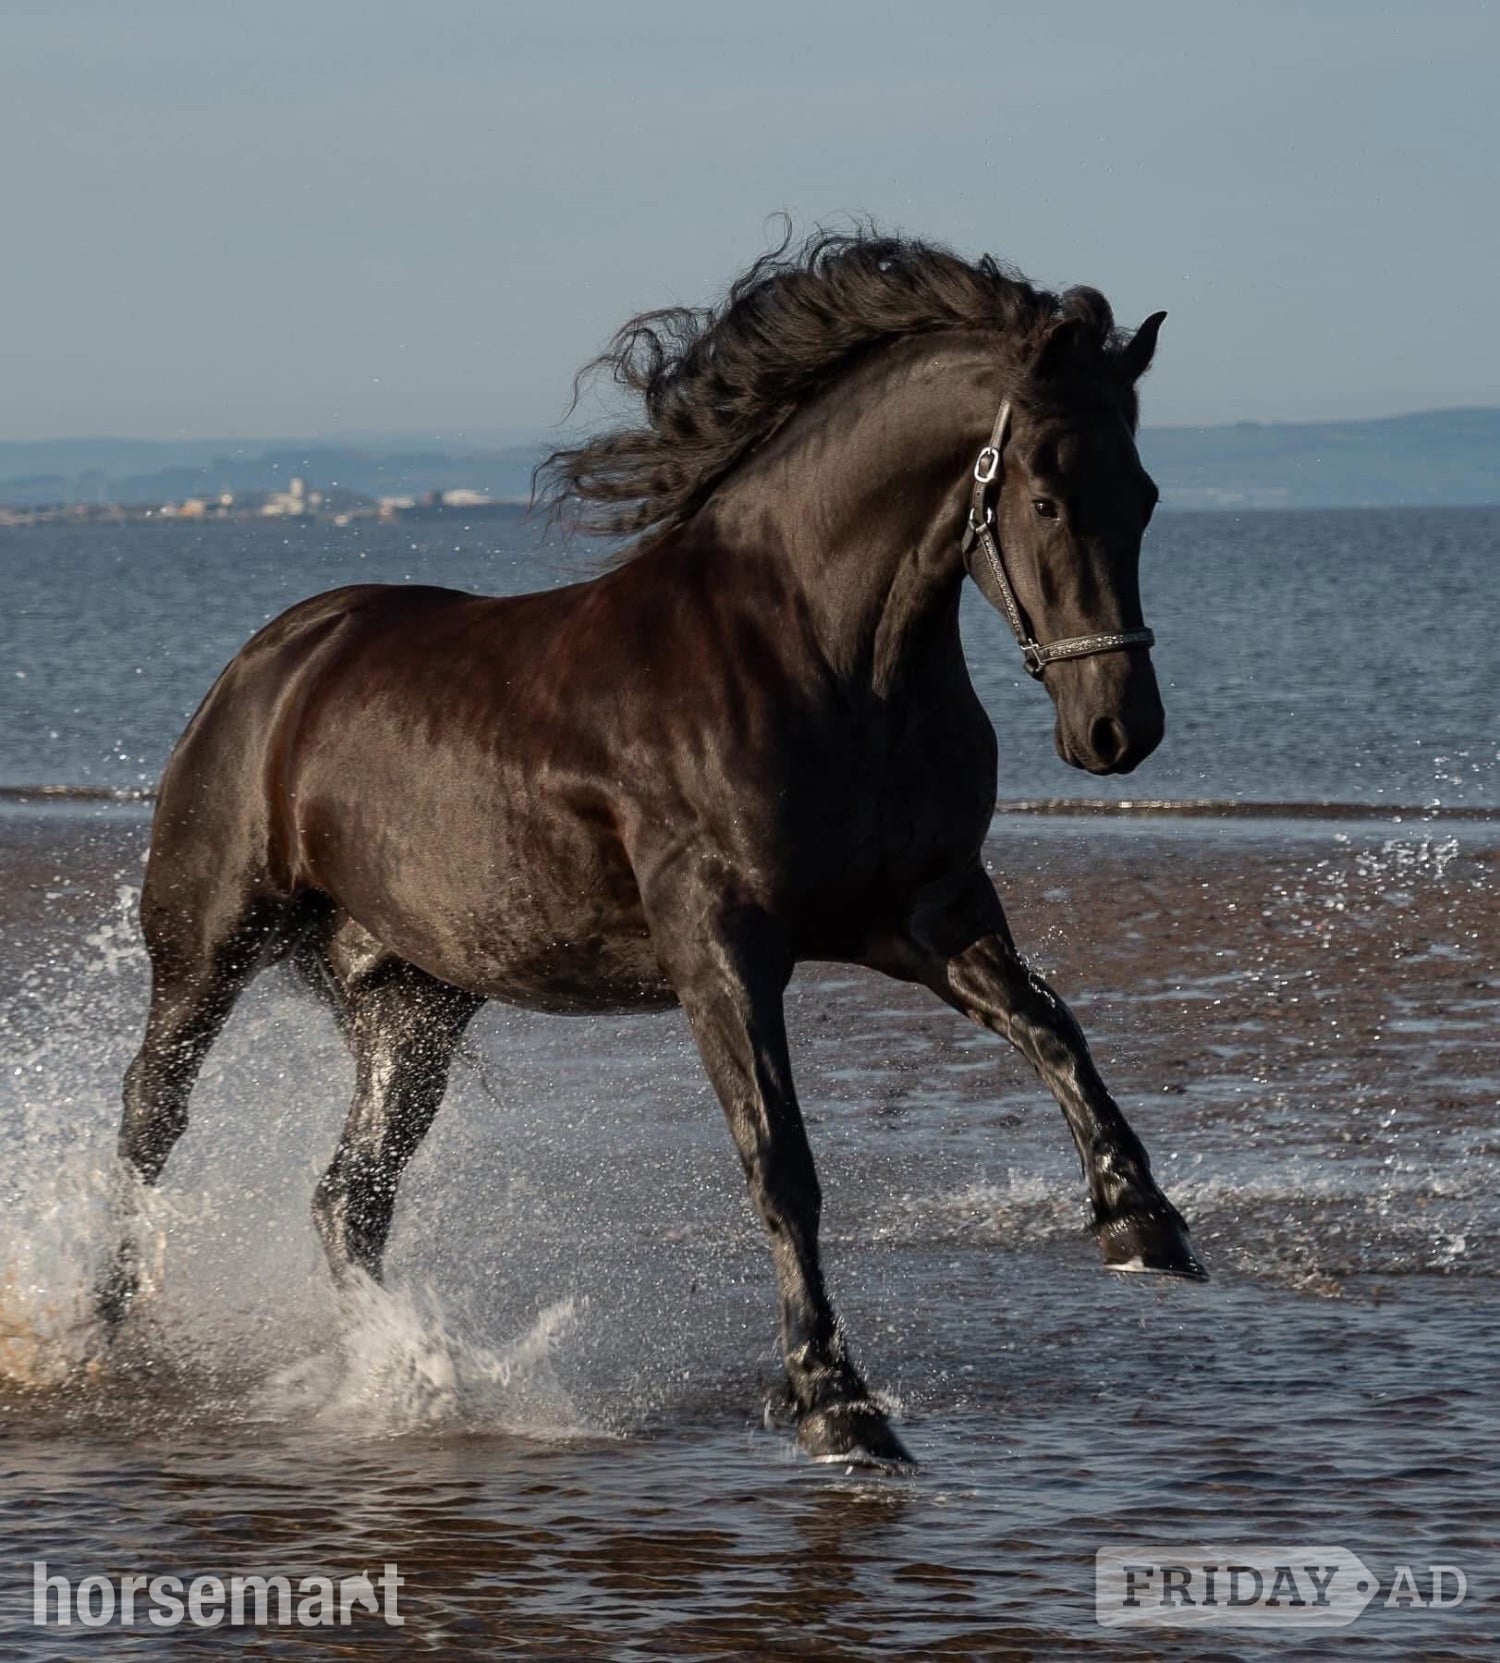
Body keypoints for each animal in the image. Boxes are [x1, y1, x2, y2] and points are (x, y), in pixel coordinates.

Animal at [103, 231, 1203, 1469]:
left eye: (1145, 494)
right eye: (1049, 496)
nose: (1117, 730)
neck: (824, 658)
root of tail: (272, 661)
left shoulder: (927, 911)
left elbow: (1053, 1025)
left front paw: (1142, 1224)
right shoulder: (719, 948)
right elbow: (780, 1163)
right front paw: (836, 1401)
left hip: (412, 1001)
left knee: (349, 1201)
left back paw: (419, 1370)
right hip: (207, 947)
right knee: (150, 1121)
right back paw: (106, 1332)